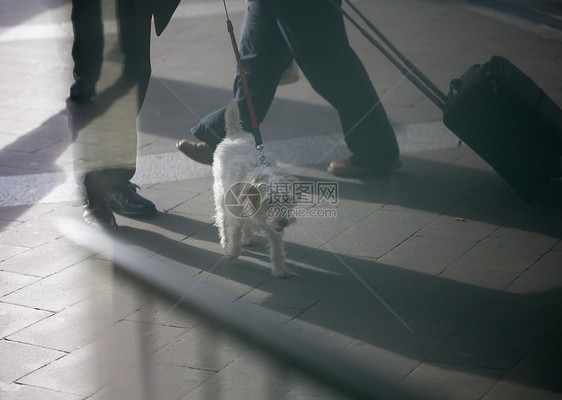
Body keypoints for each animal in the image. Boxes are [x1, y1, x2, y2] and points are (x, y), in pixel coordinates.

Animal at [211, 102, 298, 278]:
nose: (284, 222)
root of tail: (235, 134)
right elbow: (234, 235)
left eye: (286, 199)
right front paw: (231, 252)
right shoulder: (235, 215)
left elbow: (277, 248)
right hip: (220, 194)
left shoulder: (274, 227)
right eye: (269, 201)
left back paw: (248, 237)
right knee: (222, 218)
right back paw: (225, 240)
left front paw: (280, 269)